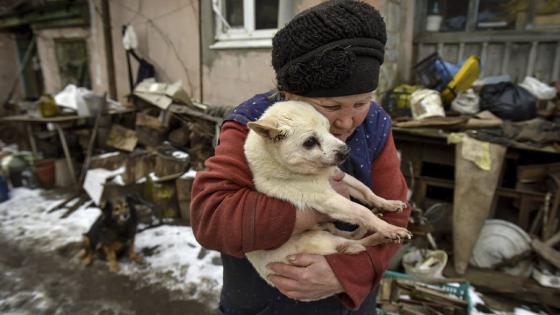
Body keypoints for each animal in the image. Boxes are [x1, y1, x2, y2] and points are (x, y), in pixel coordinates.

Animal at [245, 100, 412, 296]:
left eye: (328, 128)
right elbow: (362, 211)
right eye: (310, 142)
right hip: (318, 239)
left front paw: (387, 204)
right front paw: (390, 229)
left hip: (326, 231)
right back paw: (380, 237)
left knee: (349, 235)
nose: (346, 150)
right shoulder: (328, 199)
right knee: (355, 244)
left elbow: (365, 191)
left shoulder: (339, 176)